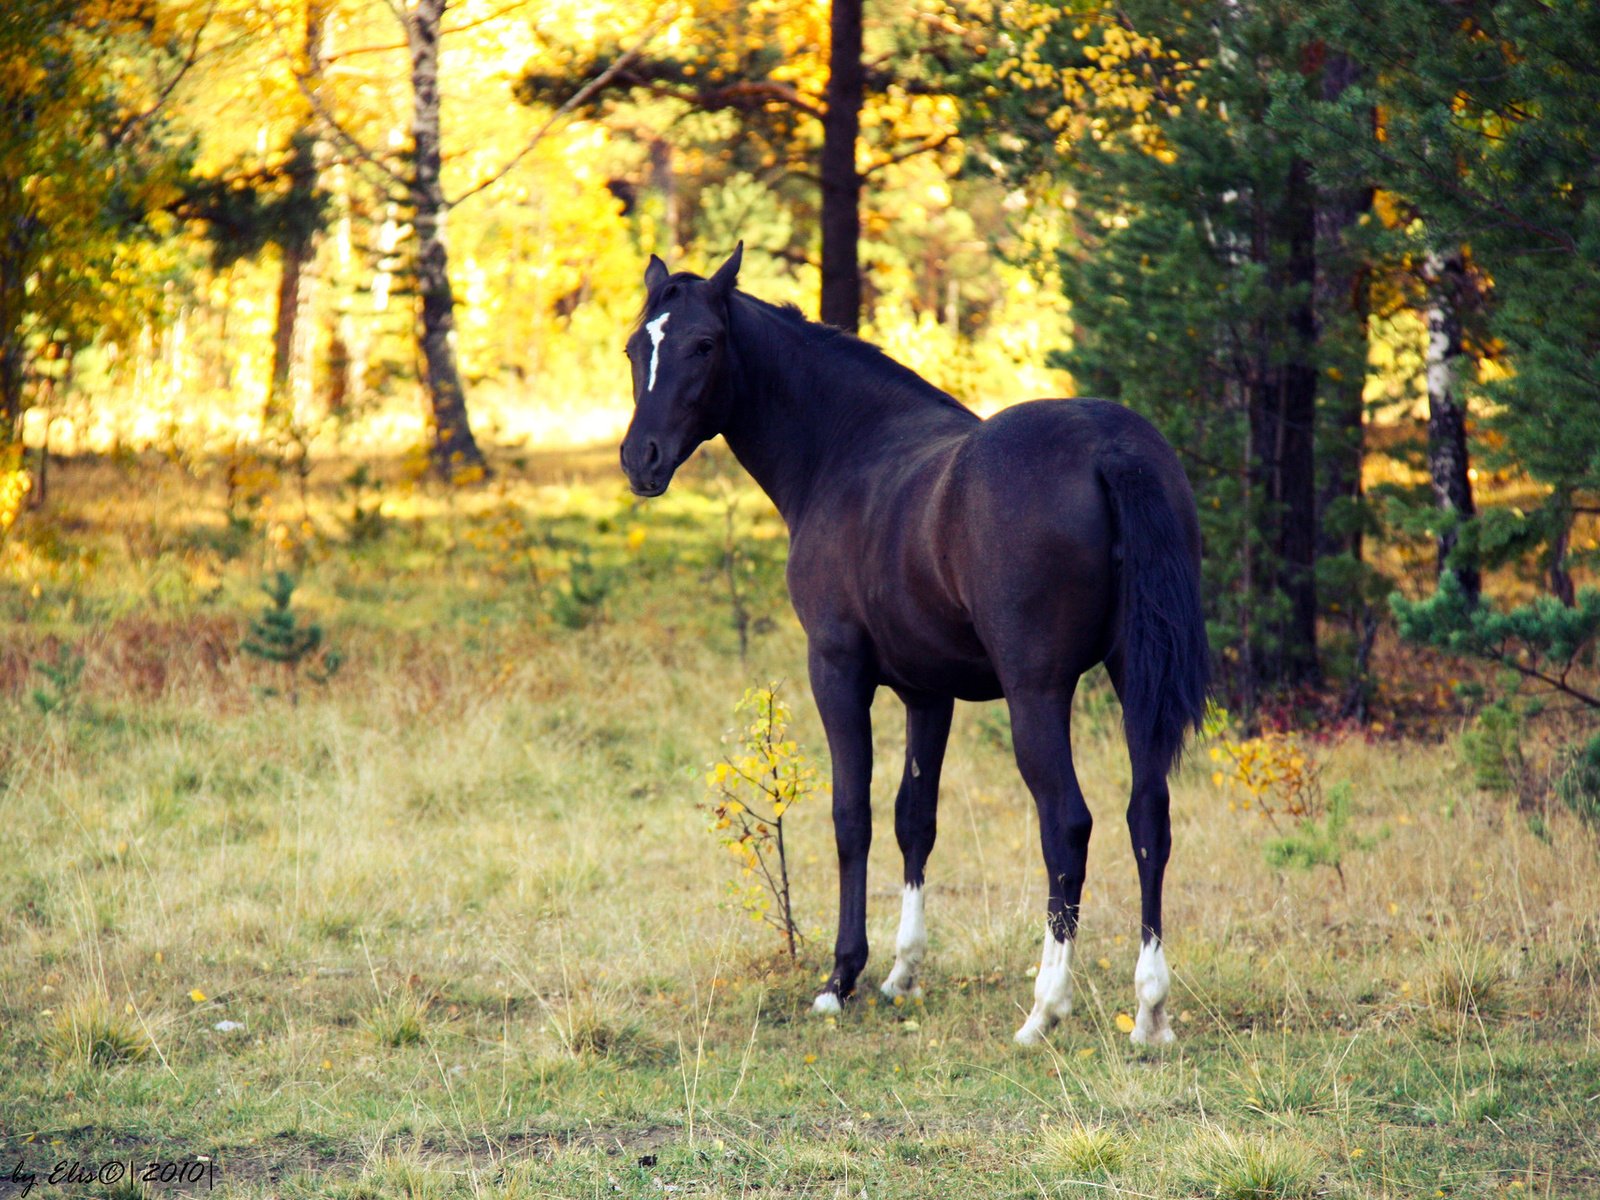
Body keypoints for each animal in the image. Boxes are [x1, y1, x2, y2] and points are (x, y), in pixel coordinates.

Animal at [617, 241, 1203, 1043]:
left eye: (703, 344)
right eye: (633, 347)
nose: (640, 459)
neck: (848, 452)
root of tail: (1113, 449)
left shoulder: (836, 671)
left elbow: (852, 816)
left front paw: (841, 977)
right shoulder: (930, 693)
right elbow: (913, 819)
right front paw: (902, 972)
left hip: (1039, 692)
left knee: (1067, 825)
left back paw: (1044, 1009)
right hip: (1132, 678)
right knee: (1149, 817)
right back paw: (1150, 1010)